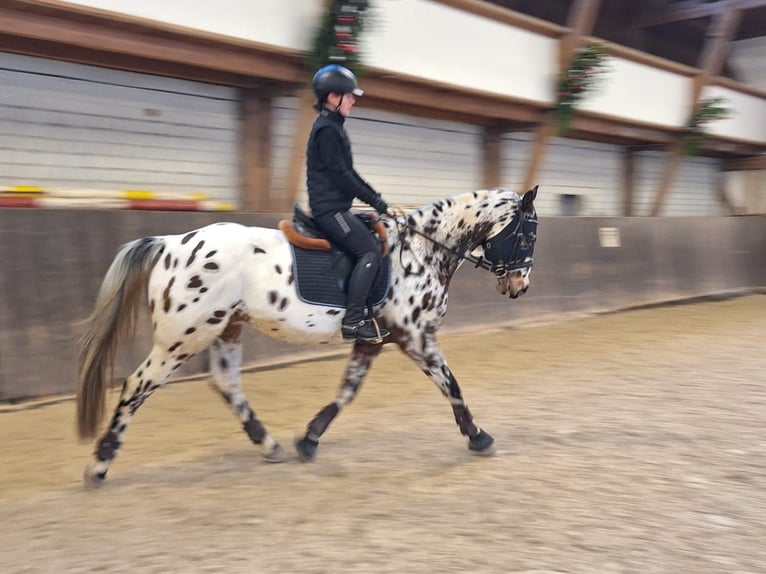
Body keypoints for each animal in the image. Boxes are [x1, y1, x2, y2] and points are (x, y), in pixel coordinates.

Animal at [76, 185, 539, 487]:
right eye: (528, 234)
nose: (520, 287)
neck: (422, 252)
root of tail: (171, 242)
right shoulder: (417, 338)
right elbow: (452, 386)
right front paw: (478, 437)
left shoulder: (372, 340)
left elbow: (346, 392)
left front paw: (309, 439)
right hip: (182, 338)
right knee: (136, 386)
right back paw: (99, 464)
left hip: (226, 328)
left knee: (226, 384)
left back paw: (270, 446)